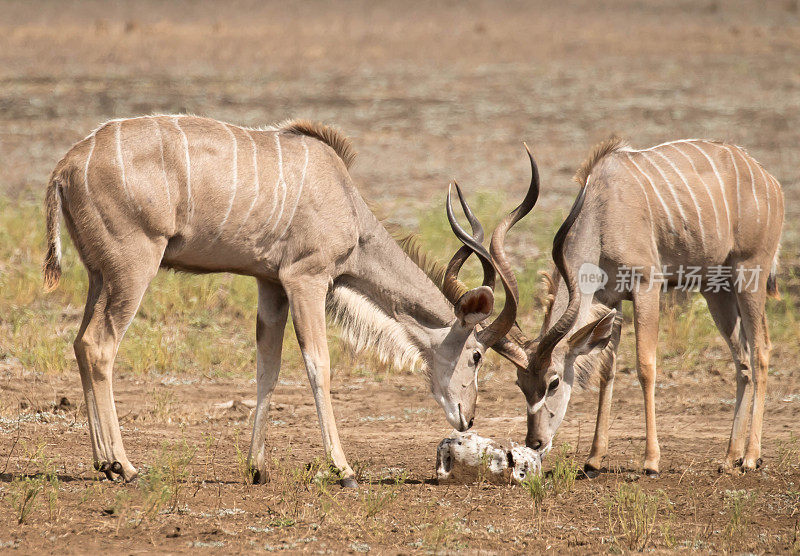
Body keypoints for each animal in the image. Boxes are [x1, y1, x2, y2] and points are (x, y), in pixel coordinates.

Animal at [42, 115, 532, 484]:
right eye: (476, 356)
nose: (468, 419)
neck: (344, 198)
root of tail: (65, 167)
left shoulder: (270, 285)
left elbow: (268, 368)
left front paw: (256, 468)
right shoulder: (305, 279)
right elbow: (318, 365)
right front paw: (343, 470)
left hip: (99, 277)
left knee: (81, 342)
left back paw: (103, 462)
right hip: (133, 269)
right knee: (100, 345)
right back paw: (123, 466)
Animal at [454, 137, 784, 476]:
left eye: (553, 382)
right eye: (520, 383)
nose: (535, 442)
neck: (605, 211)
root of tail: (767, 179)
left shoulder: (646, 286)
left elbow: (645, 366)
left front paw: (651, 461)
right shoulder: (612, 300)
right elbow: (606, 371)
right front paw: (594, 459)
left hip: (750, 274)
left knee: (761, 351)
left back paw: (750, 457)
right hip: (716, 290)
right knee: (741, 360)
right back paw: (730, 457)